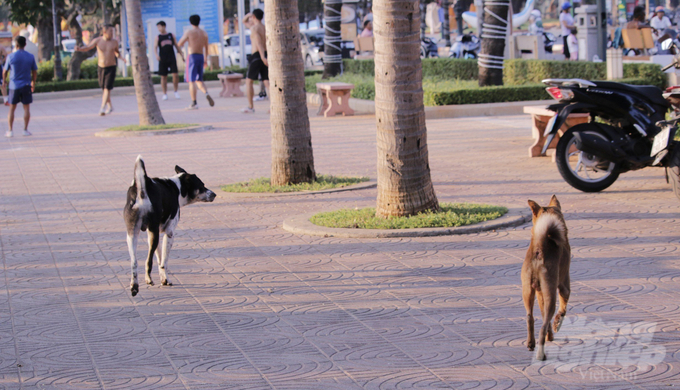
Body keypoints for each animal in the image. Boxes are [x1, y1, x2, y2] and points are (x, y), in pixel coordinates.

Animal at [123, 155, 215, 296]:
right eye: (202, 186)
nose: (214, 194)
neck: (177, 187)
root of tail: (141, 189)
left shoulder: (152, 235)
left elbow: (159, 258)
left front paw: (163, 279)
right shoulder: (169, 233)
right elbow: (164, 262)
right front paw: (166, 279)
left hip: (133, 235)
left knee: (134, 262)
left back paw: (134, 287)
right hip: (153, 232)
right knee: (148, 261)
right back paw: (148, 280)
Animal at [524, 194, 572, 360]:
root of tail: (539, 248)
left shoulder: (539, 294)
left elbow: (545, 315)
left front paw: (551, 336)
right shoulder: (564, 286)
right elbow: (563, 308)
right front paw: (558, 323)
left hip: (528, 292)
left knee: (530, 317)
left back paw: (531, 343)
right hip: (551, 293)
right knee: (543, 326)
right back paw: (541, 354)